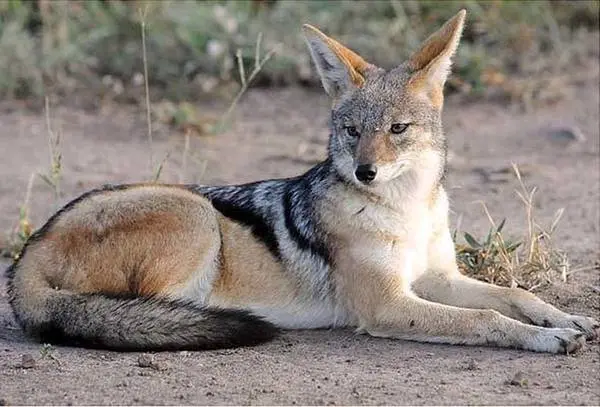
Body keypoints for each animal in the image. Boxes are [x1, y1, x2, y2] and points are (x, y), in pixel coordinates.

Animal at [6, 10, 599, 354]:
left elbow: (512, 294)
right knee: (145, 311)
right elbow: (483, 318)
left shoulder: (434, 277)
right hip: (195, 215)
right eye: (352, 130)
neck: (405, 209)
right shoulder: (389, 304)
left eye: (397, 130)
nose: (364, 171)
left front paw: (567, 318)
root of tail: (24, 261)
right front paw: (544, 339)